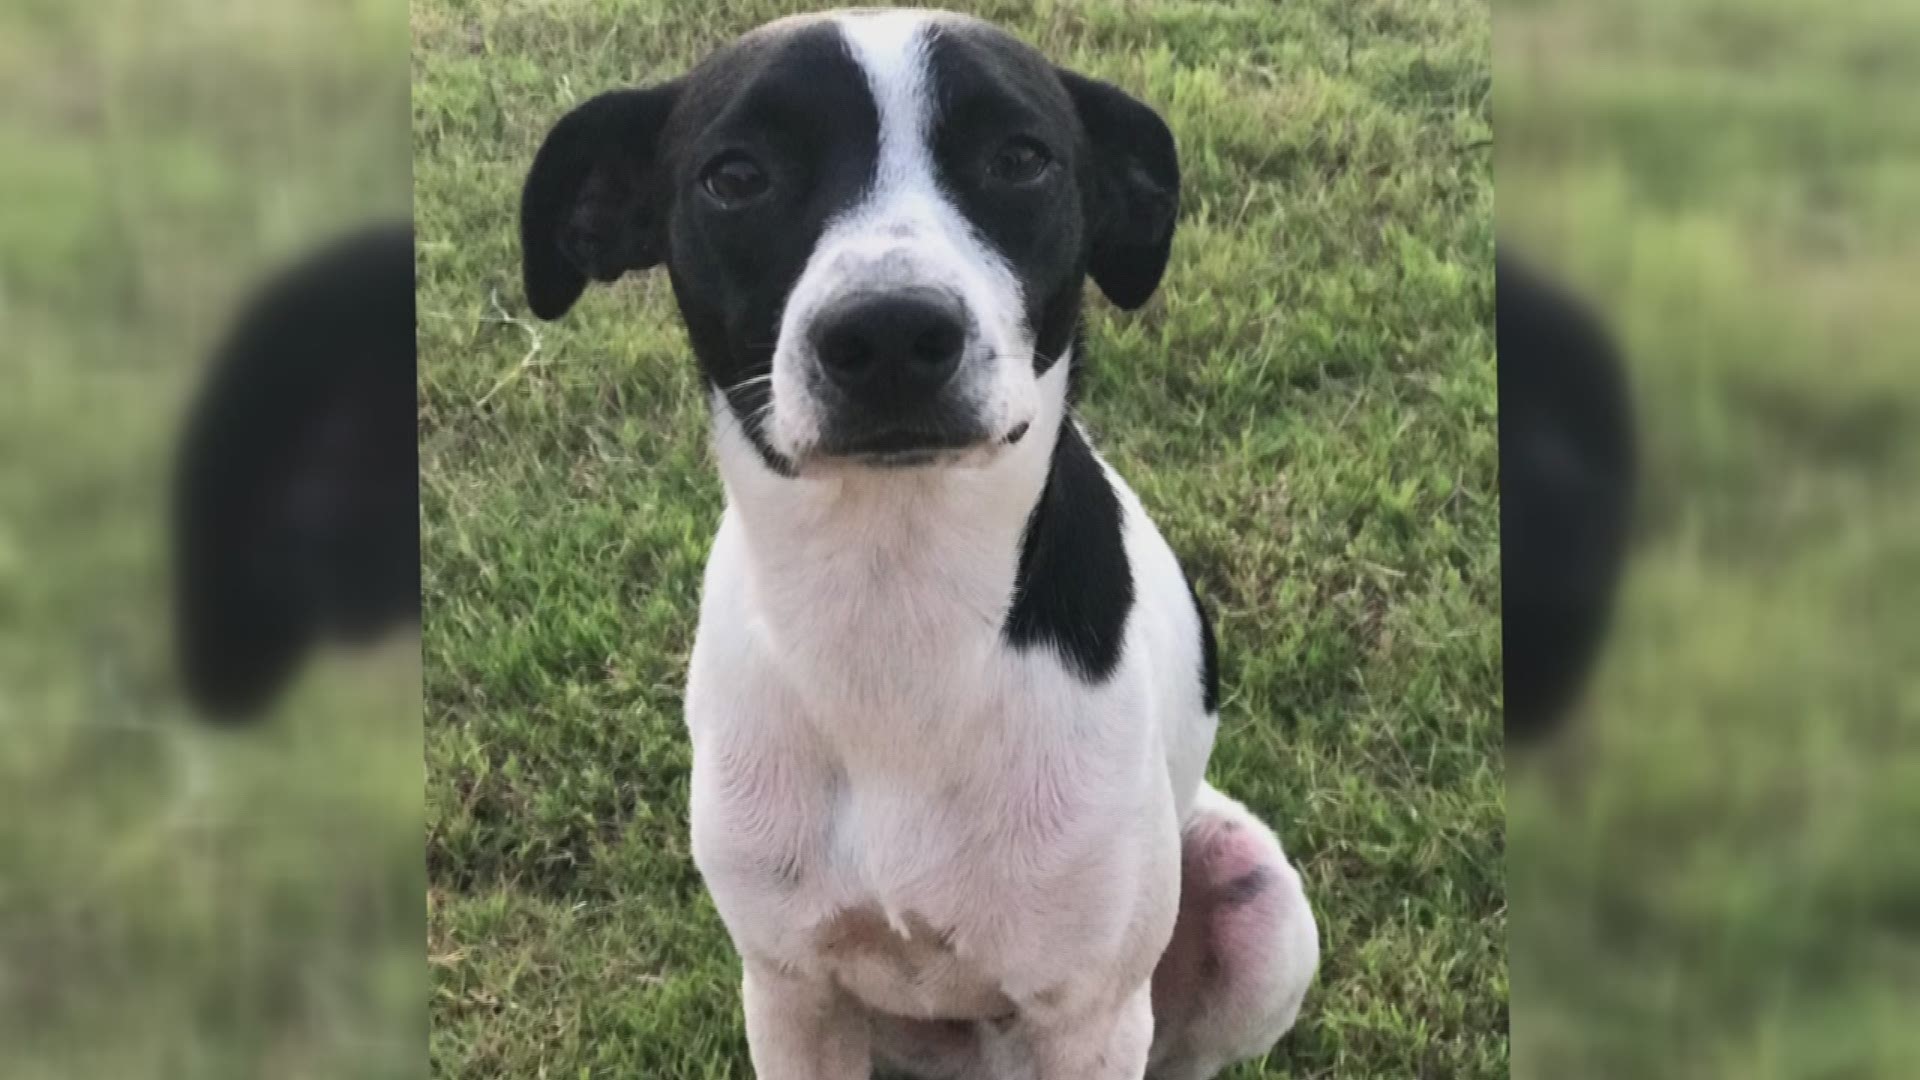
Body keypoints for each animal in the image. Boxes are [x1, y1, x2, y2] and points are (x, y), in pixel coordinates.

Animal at [510, 10, 1320, 1076]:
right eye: (736, 175)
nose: (891, 332)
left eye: (1021, 159)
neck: (893, 604)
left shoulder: (1087, 1018)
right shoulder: (791, 994)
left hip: (1250, 897)